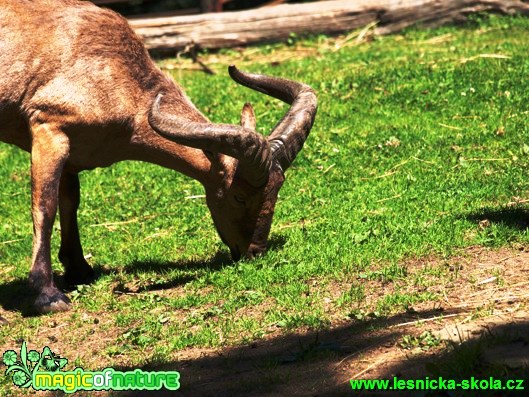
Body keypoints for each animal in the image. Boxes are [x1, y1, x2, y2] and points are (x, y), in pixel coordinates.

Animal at [0, 0, 318, 316]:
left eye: (276, 189)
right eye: (239, 196)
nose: (254, 251)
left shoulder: (72, 153)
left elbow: (70, 203)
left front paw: (80, 270)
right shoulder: (48, 128)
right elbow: (46, 207)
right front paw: (48, 294)